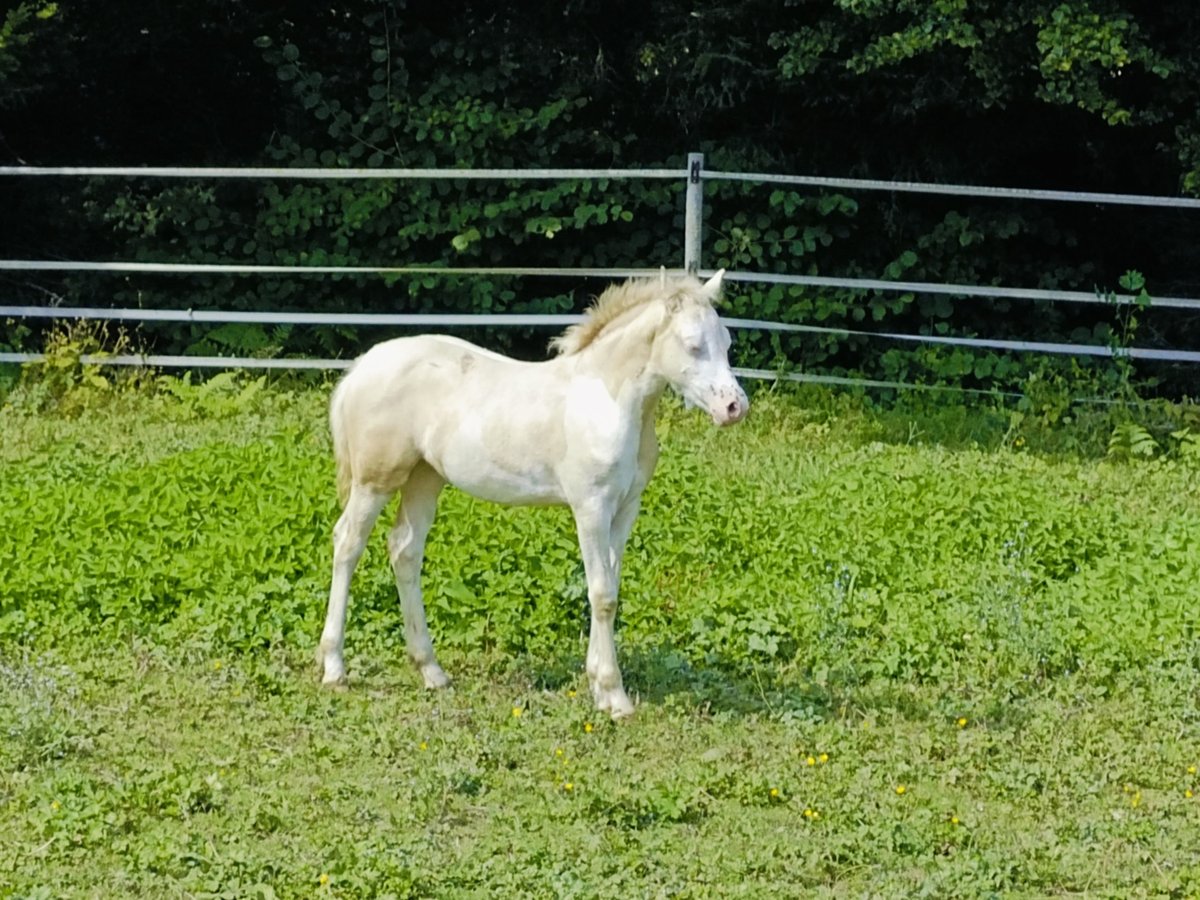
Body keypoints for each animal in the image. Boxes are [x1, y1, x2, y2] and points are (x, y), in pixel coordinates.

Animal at [319, 267, 748, 720]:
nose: (735, 407)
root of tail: (362, 367)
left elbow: (610, 586)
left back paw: (431, 670)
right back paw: (334, 668)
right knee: (347, 543)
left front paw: (597, 684)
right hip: (375, 481)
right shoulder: (590, 507)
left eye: (727, 343)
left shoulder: (625, 508)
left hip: (424, 478)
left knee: (404, 550)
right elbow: (602, 594)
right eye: (693, 345)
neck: (610, 400)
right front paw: (614, 696)